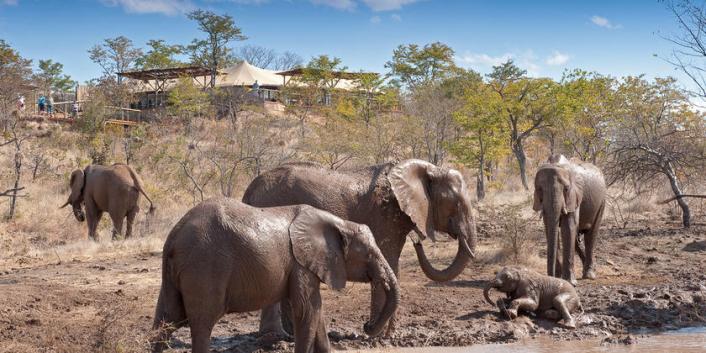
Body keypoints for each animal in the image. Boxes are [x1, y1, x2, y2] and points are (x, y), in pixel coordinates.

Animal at [149, 198, 398, 352]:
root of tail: (174, 236)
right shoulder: (301, 264)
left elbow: (316, 311)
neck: (338, 223)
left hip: (175, 274)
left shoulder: (302, 265)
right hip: (204, 267)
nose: (366, 326)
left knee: (166, 320)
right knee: (202, 324)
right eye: (368, 254)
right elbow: (307, 310)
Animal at [242, 160, 478, 336]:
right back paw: (274, 338)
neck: (426, 168)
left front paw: (388, 335)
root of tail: (249, 191)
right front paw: (381, 337)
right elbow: (388, 262)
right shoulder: (385, 216)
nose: (417, 241)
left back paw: (288, 336)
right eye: (456, 204)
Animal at [532, 155, 604, 284]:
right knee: (577, 239)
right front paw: (558, 278)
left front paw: (570, 282)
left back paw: (589, 275)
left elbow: (568, 227)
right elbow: (549, 227)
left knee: (591, 234)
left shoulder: (574, 195)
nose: (551, 277)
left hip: (601, 202)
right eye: (539, 189)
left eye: (566, 189)